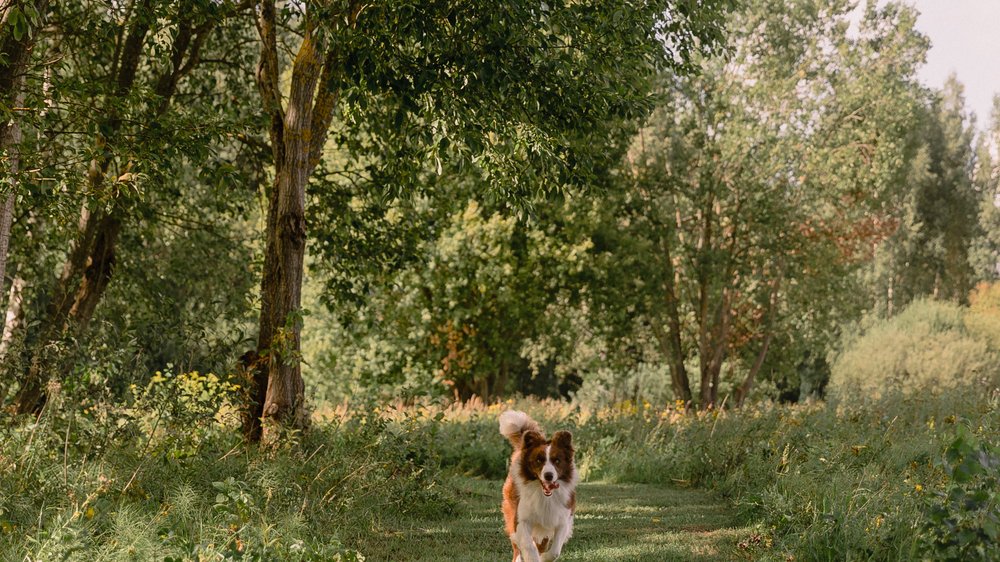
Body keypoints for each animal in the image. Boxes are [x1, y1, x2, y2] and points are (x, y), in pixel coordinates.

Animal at [500, 406, 580, 560]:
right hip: (511, 507)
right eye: (539, 460)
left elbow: (554, 551)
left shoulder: (563, 517)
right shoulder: (521, 518)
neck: (545, 495)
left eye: (557, 461)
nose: (548, 476)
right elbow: (527, 545)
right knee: (517, 545)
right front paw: (533, 557)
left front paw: (544, 558)